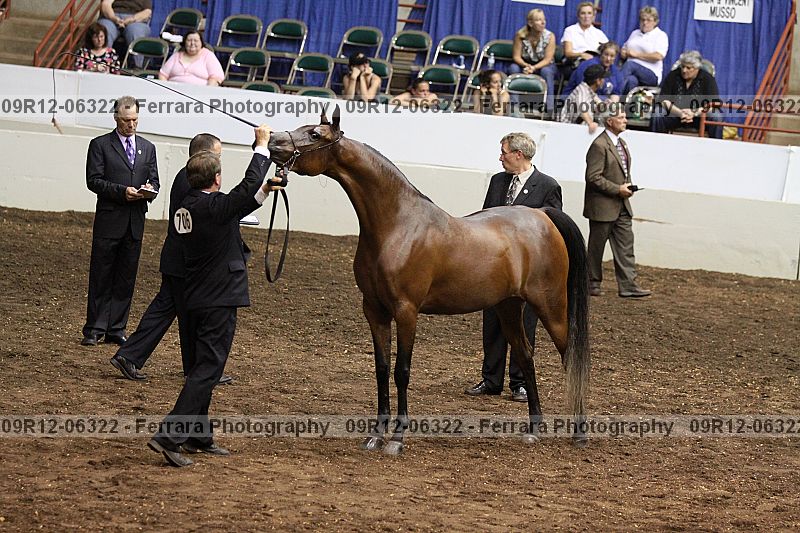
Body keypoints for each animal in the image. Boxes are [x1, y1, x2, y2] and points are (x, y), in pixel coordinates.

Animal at [268, 107, 590, 454]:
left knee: (571, 358)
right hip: (507, 307)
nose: (273, 141)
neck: (397, 225)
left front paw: (397, 438)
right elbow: (381, 370)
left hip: (551, 306)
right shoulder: (374, 310)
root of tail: (542, 214)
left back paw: (580, 433)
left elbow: (401, 372)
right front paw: (376, 435)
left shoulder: (406, 311)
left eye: (314, 134)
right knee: (526, 357)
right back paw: (533, 429)